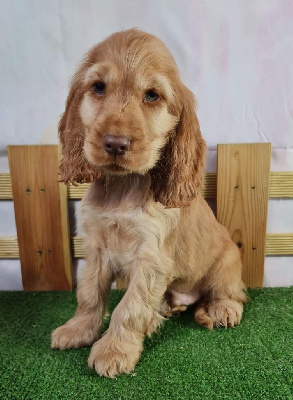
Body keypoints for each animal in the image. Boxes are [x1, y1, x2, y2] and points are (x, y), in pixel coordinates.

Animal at [51, 28, 245, 378]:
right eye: (98, 87)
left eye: (152, 95)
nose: (115, 144)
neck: (122, 187)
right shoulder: (96, 246)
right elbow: (88, 295)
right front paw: (78, 330)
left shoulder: (151, 257)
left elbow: (129, 307)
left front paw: (114, 350)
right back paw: (169, 307)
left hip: (227, 261)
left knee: (232, 292)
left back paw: (222, 309)